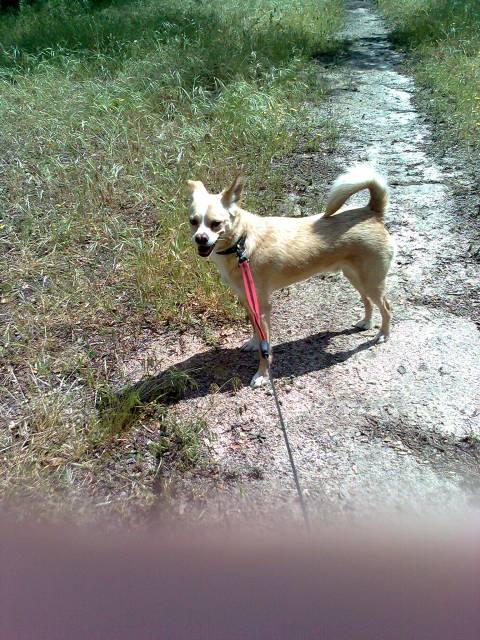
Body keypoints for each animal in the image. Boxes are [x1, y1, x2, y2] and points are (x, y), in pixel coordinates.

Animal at [187, 164, 394, 387]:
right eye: (193, 222)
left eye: (216, 223)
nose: (200, 238)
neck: (242, 242)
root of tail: (371, 211)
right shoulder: (248, 301)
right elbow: (256, 330)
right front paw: (253, 342)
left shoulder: (262, 307)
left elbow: (265, 348)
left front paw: (262, 374)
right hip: (356, 277)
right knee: (367, 300)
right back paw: (367, 322)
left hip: (371, 281)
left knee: (386, 307)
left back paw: (383, 334)